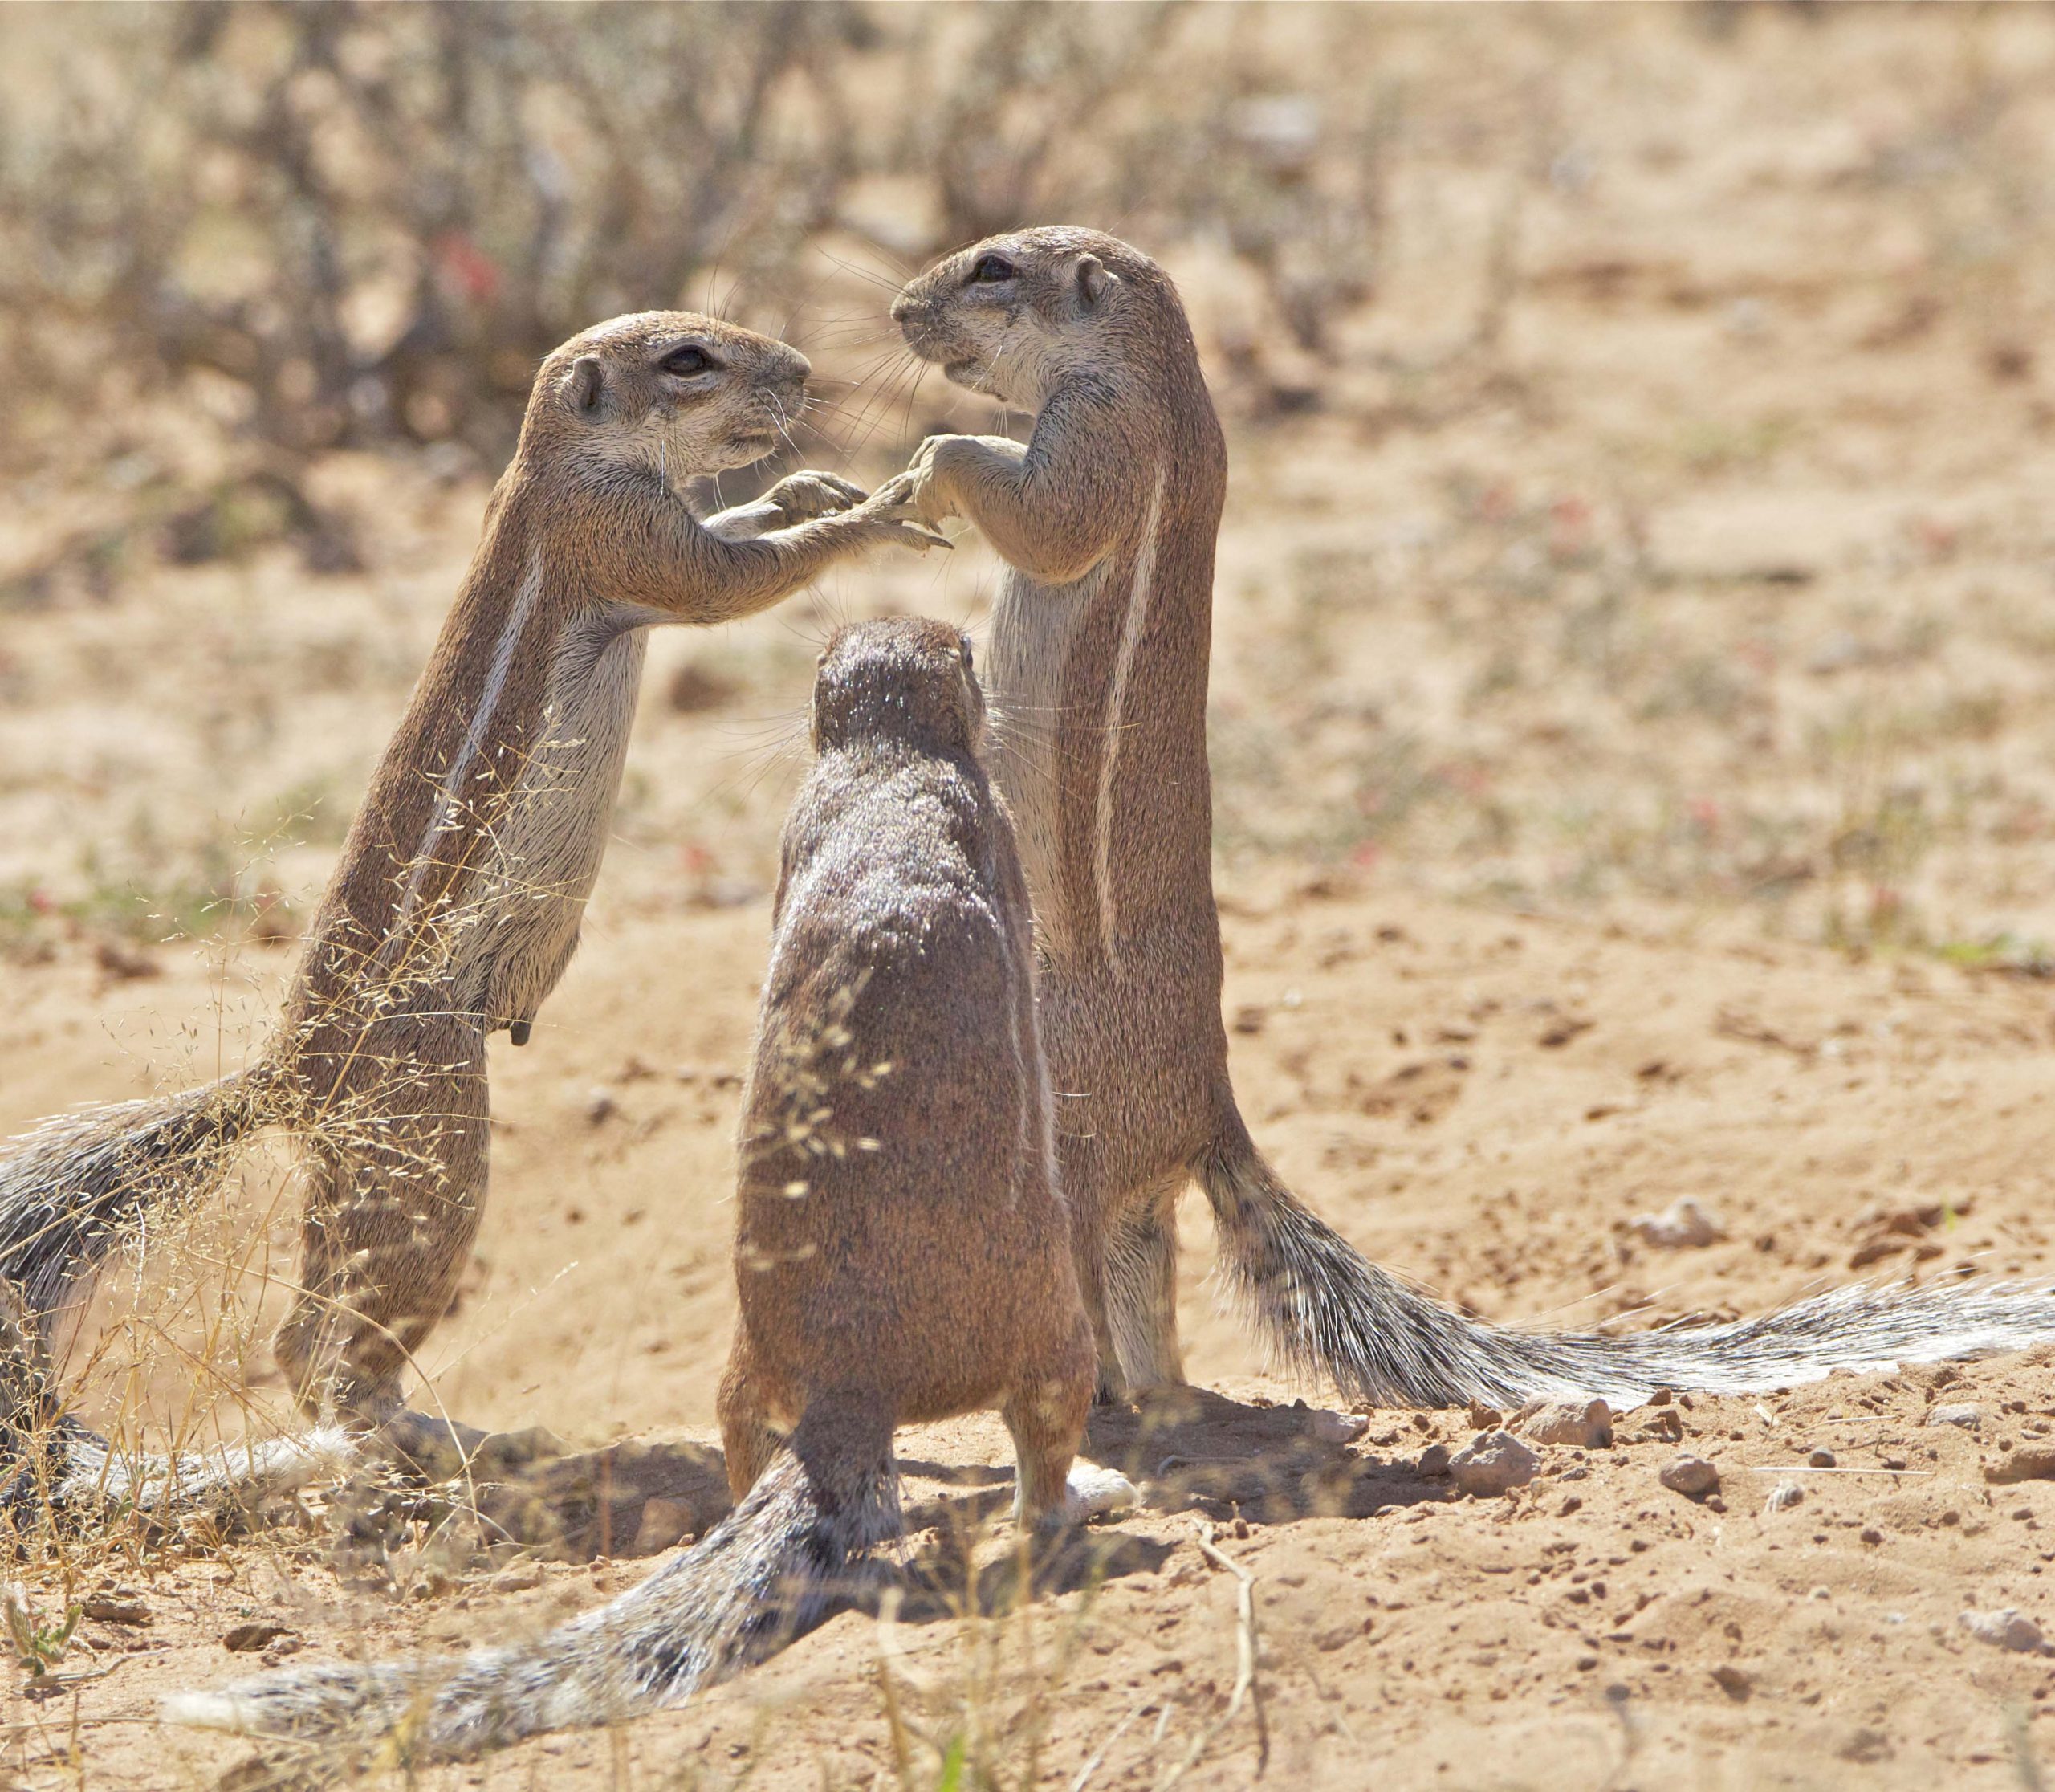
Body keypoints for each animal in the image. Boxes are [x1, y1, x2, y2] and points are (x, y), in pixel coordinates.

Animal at [0, 311, 942, 1509]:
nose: (807, 373)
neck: (553, 463)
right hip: (434, 1139)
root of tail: (287, 1074)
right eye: (688, 361)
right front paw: (871, 508)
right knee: (322, 1353)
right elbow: (734, 577)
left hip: (368, 1170)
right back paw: (431, 1455)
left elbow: (740, 527)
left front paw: (806, 487)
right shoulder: (626, 539)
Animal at [166, 618, 1134, 1760]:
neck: (884, 761)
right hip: (1050, 1332)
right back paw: (1084, 1496)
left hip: (748, 1363)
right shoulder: (992, 828)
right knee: (1040, 1458)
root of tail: (852, 1390)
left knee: (736, 1426)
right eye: (965, 653)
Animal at [884, 225, 2055, 1409]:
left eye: (992, 269)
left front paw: (926, 469)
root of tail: (1208, 1110)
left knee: (1085, 1266)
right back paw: (1159, 1404)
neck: (1155, 370)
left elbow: (1044, 519)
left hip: (1064, 1119)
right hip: (1127, 1198)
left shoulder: (1104, 439)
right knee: (1141, 1281)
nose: (896, 312)